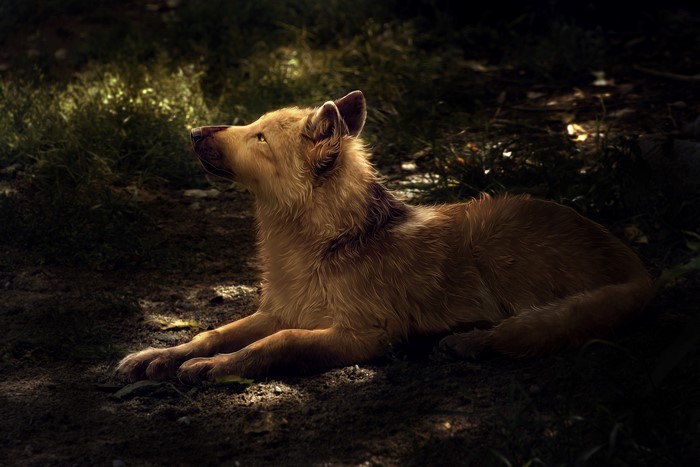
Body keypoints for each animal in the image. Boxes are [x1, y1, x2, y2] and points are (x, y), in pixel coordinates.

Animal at [116, 91, 653, 383]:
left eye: (259, 138)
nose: (192, 131)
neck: (318, 246)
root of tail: (639, 266)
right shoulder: (278, 311)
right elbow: (209, 333)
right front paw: (158, 357)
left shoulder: (370, 335)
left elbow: (276, 344)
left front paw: (215, 367)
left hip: (498, 245)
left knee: (529, 328)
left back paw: (468, 342)